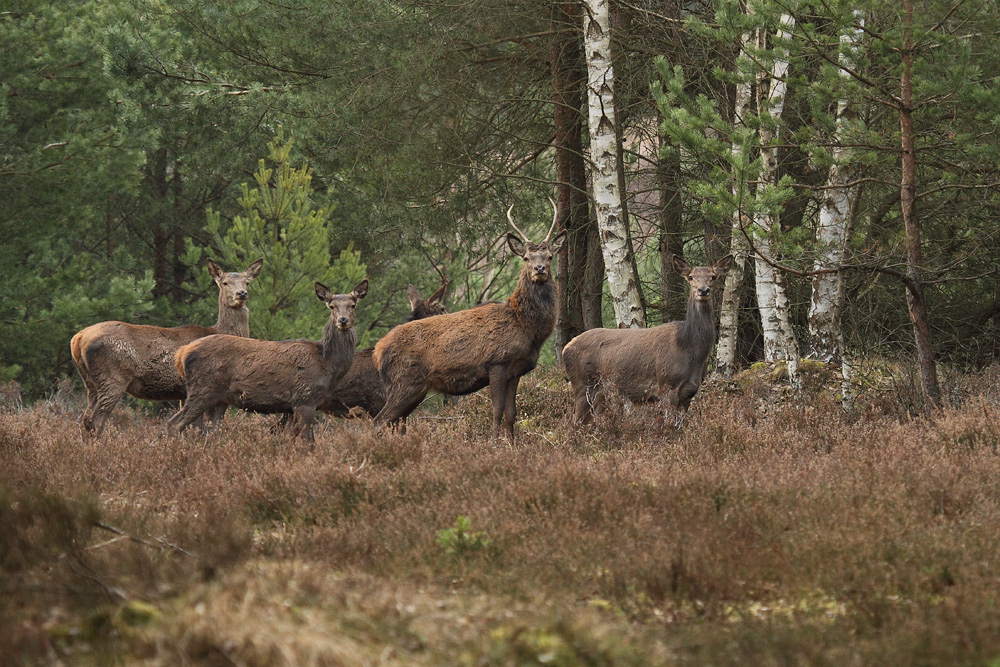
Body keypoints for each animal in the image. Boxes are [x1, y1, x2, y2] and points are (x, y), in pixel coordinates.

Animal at [72, 258, 264, 436]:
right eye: (225, 282)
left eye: (247, 282)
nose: (241, 293)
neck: (218, 330)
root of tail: (78, 339)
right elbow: (197, 428)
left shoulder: (183, 393)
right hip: (113, 377)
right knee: (96, 419)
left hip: (90, 382)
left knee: (86, 418)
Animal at [168, 280, 372, 440]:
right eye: (331, 306)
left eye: (353, 305)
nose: (343, 320)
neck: (327, 363)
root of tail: (182, 353)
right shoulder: (305, 399)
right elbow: (308, 443)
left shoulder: (291, 407)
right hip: (203, 389)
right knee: (174, 423)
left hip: (219, 399)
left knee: (209, 431)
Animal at [372, 204, 568, 444]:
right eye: (525, 258)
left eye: (549, 256)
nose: (539, 269)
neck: (526, 327)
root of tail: (378, 350)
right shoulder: (497, 363)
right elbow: (497, 410)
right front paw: (494, 443)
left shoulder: (516, 371)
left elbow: (512, 414)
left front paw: (512, 445)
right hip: (403, 382)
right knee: (379, 420)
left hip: (413, 389)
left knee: (394, 422)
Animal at [564, 253, 736, 430]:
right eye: (691, 277)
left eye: (713, 276)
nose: (703, 290)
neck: (690, 349)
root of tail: (566, 348)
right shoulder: (666, 387)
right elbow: (669, 427)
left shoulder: (689, 393)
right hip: (583, 384)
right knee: (574, 423)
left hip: (599, 393)